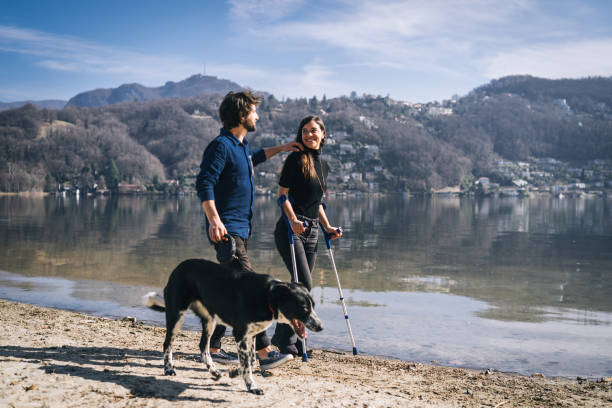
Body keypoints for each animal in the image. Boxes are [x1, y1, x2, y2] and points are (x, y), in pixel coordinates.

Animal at [144, 258, 326, 396]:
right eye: (304, 308)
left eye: (314, 306)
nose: (321, 327)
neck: (268, 295)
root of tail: (178, 267)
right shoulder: (240, 334)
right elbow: (247, 365)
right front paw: (252, 386)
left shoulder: (250, 335)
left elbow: (251, 361)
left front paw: (234, 373)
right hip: (177, 315)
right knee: (167, 343)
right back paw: (169, 369)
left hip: (210, 320)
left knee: (203, 346)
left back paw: (214, 371)